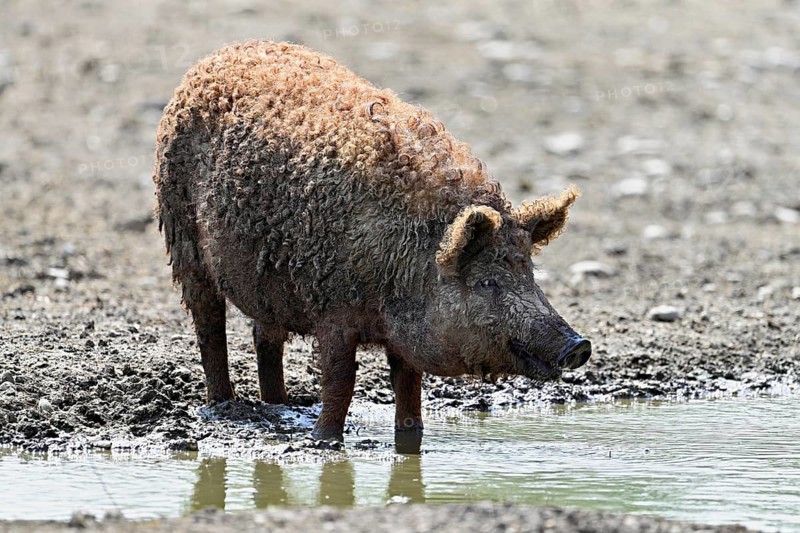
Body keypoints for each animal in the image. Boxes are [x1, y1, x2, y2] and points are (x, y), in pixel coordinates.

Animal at [153, 40, 591, 440]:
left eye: (529, 272)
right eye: (487, 282)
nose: (579, 345)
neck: (405, 261)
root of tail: (216, 55)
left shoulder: (402, 335)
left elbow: (408, 384)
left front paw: (410, 438)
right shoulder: (331, 308)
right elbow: (340, 380)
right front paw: (324, 439)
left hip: (266, 278)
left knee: (265, 336)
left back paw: (281, 406)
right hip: (180, 234)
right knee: (209, 324)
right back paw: (224, 406)